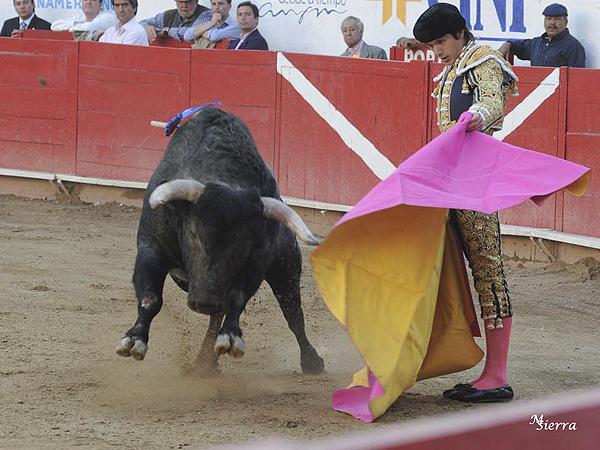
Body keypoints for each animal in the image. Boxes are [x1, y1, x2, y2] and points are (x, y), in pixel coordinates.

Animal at [115, 107, 326, 374]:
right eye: (193, 234)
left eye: (242, 246)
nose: (204, 302)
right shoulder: (151, 246)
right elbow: (150, 298)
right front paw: (134, 340)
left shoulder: (259, 258)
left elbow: (238, 297)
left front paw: (232, 337)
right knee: (218, 316)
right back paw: (205, 362)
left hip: (285, 266)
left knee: (293, 313)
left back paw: (311, 361)